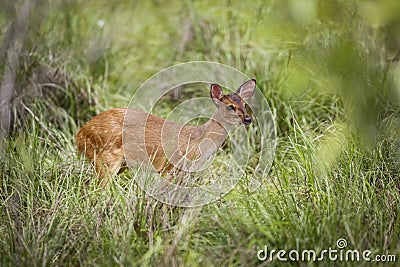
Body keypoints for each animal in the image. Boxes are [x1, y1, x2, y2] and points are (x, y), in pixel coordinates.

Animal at [75, 79, 256, 186]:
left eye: (244, 104)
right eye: (230, 106)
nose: (248, 119)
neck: (197, 142)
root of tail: (80, 134)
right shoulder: (169, 167)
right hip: (106, 158)